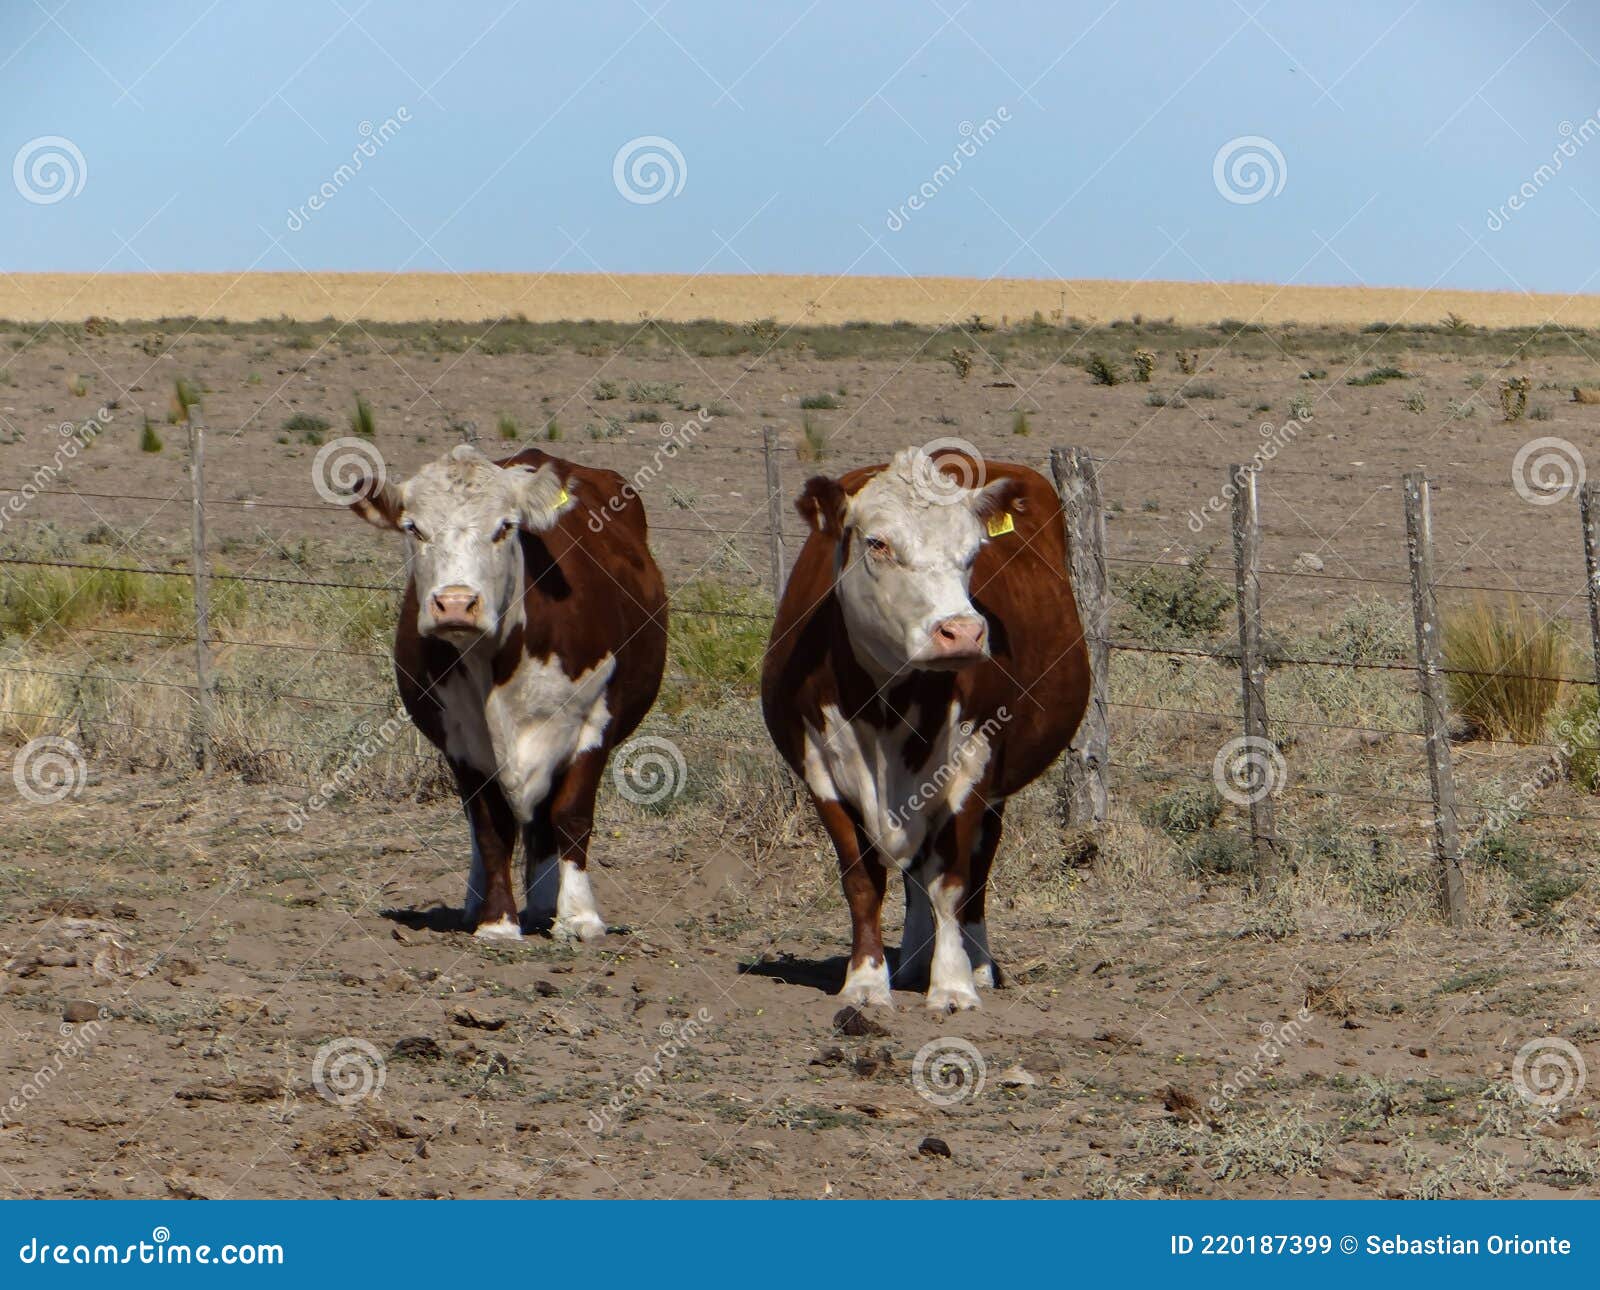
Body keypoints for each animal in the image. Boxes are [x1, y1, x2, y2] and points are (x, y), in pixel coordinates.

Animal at [353, 448, 665, 947]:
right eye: (414, 528)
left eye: (504, 527)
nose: (456, 603)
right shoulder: (461, 740)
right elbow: (489, 828)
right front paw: (497, 920)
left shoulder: (595, 720)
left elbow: (571, 815)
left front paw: (579, 917)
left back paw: (545, 904)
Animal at [761, 448, 1088, 1017]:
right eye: (877, 543)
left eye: (973, 551)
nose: (962, 632)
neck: (883, 709)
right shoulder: (819, 771)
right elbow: (862, 883)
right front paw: (867, 981)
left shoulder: (973, 766)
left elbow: (952, 883)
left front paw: (954, 984)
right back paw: (914, 962)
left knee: (975, 868)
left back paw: (975, 964)